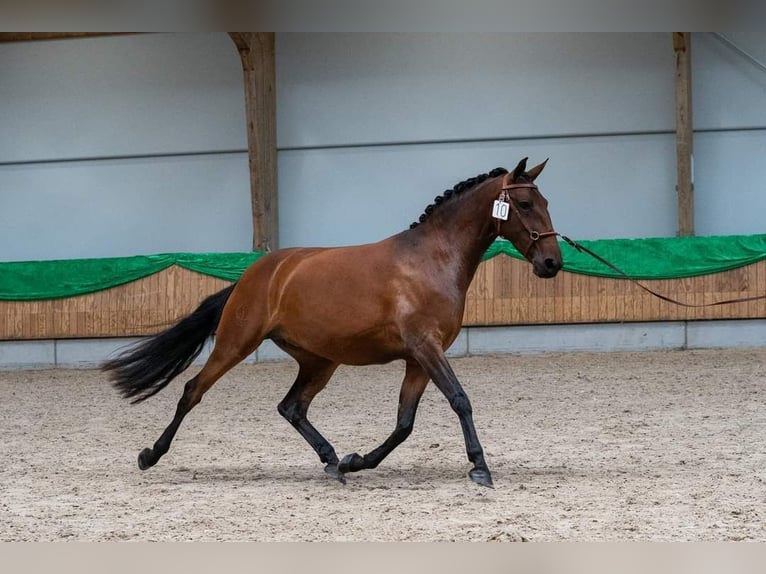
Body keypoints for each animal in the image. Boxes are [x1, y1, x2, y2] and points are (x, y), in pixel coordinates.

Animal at [103, 159, 564, 490]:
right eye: (525, 205)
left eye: (546, 204)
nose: (551, 263)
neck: (431, 260)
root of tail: (255, 273)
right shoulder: (425, 348)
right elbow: (459, 400)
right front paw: (480, 467)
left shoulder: (418, 359)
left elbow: (404, 424)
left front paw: (356, 461)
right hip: (236, 343)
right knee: (192, 392)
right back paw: (150, 455)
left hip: (319, 361)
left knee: (291, 407)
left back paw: (331, 461)